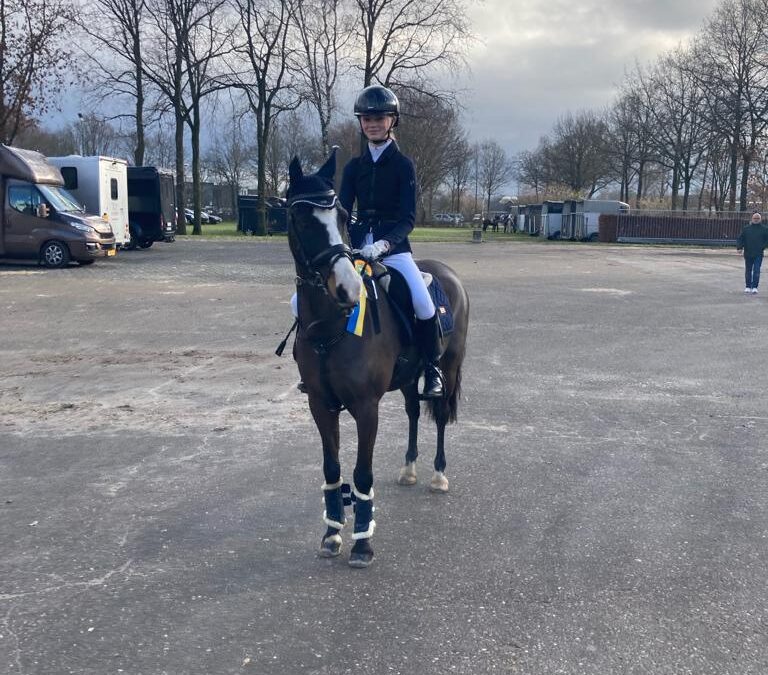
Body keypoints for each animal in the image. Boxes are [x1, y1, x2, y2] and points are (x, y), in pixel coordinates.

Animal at [288, 151, 468, 568]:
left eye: (341, 216)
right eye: (302, 218)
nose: (348, 288)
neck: (330, 328)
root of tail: (447, 273)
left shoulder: (366, 407)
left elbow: (362, 473)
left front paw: (362, 543)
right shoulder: (320, 404)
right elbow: (333, 469)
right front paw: (332, 534)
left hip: (449, 367)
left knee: (439, 414)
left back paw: (438, 475)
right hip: (408, 378)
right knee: (414, 412)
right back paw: (409, 468)